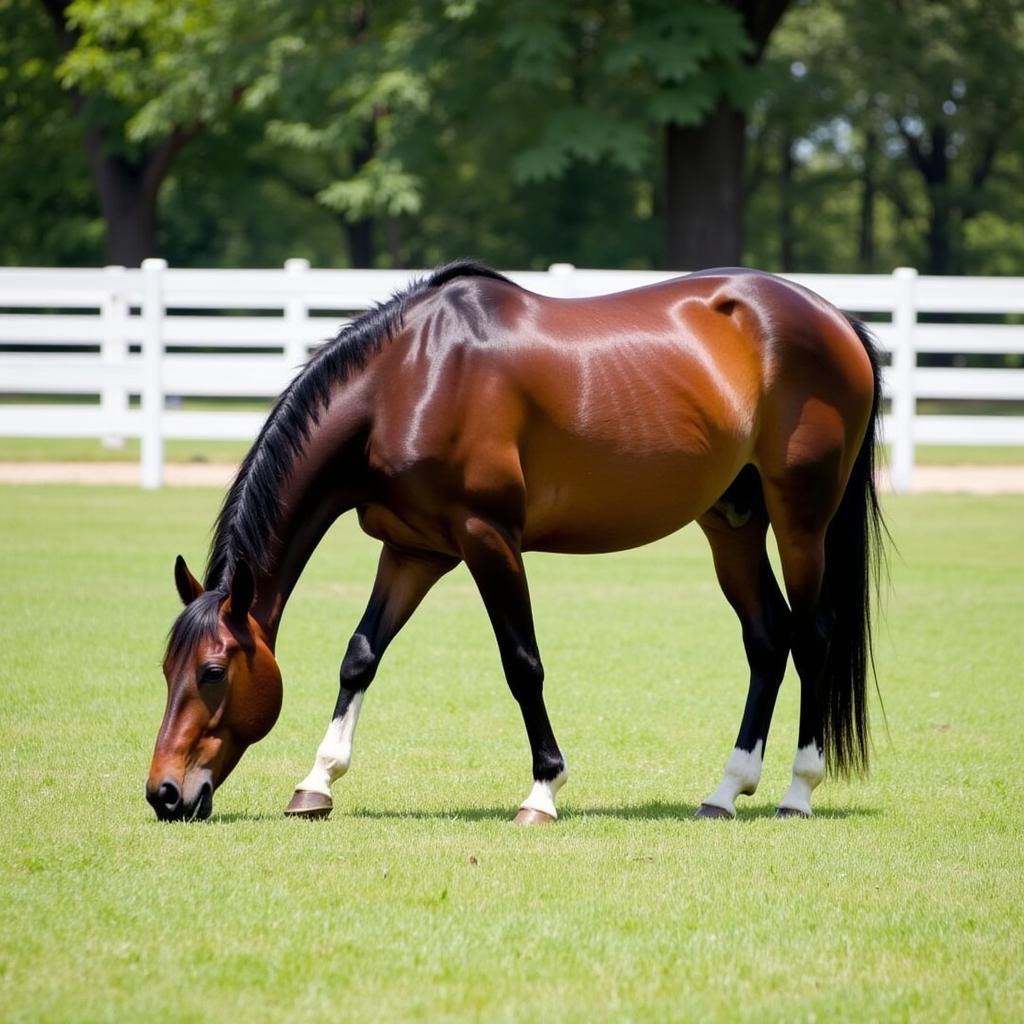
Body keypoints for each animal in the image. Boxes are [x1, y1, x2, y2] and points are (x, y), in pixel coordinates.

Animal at [146, 262, 888, 823]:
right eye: (165, 668)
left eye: (213, 672)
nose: (165, 794)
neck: (410, 380)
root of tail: (834, 317)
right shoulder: (414, 552)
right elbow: (360, 656)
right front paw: (316, 782)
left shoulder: (488, 540)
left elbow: (521, 663)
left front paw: (543, 790)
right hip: (731, 522)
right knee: (767, 639)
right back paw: (725, 792)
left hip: (801, 520)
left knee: (813, 635)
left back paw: (798, 791)